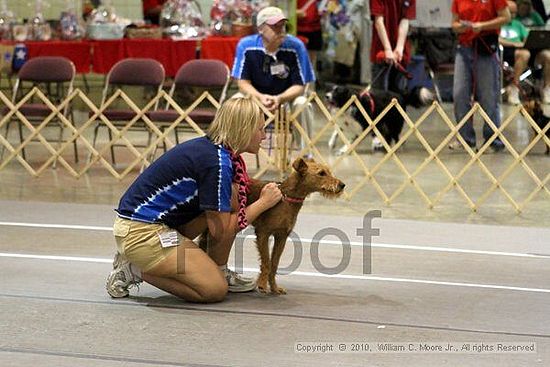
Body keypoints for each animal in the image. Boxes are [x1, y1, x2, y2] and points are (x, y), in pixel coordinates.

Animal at [249, 157, 344, 294]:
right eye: (321, 173)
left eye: (329, 172)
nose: (342, 185)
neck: (286, 198)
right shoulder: (263, 234)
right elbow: (266, 262)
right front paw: (262, 284)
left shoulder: (282, 236)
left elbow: (274, 264)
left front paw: (274, 288)